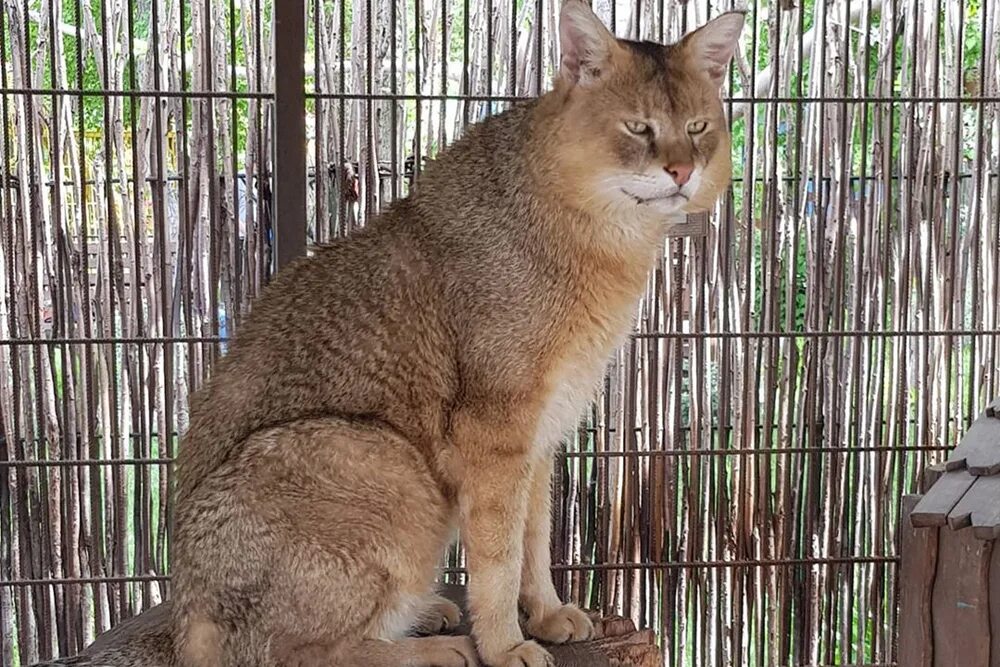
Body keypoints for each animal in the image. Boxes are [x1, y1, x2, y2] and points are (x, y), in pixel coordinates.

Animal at [33, 1, 744, 667]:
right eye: (639, 128)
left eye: (698, 129)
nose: (682, 171)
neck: (586, 230)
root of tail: (182, 619)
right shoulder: (495, 434)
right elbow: (497, 557)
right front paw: (505, 644)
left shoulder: (542, 436)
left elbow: (535, 540)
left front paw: (545, 615)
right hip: (384, 456)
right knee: (291, 653)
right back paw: (435, 646)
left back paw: (425, 614)